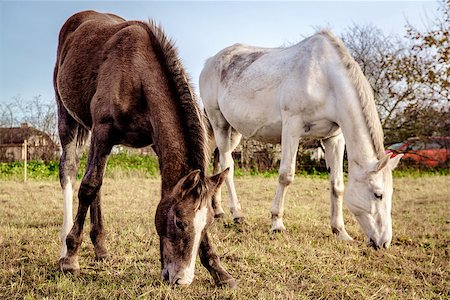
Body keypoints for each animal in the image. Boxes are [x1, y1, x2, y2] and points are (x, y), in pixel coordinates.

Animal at [54, 10, 234, 288]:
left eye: (208, 225)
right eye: (179, 221)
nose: (182, 280)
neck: (137, 74)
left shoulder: (151, 143)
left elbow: (95, 185)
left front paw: (218, 270)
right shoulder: (103, 131)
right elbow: (88, 187)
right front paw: (71, 258)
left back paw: (100, 247)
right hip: (67, 117)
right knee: (70, 173)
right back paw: (65, 246)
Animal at [199, 29, 402, 248]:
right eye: (378, 194)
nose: (383, 243)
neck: (325, 79)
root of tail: (210, 62)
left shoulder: (334, 138)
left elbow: (337, 184)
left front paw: (340, 231)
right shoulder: (292, 127)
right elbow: (286, 175)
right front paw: (277, 223)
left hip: (233, 131)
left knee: (219, 164)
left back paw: (218, 211)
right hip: (219, 123)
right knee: (227, 164)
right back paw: (237, 215)